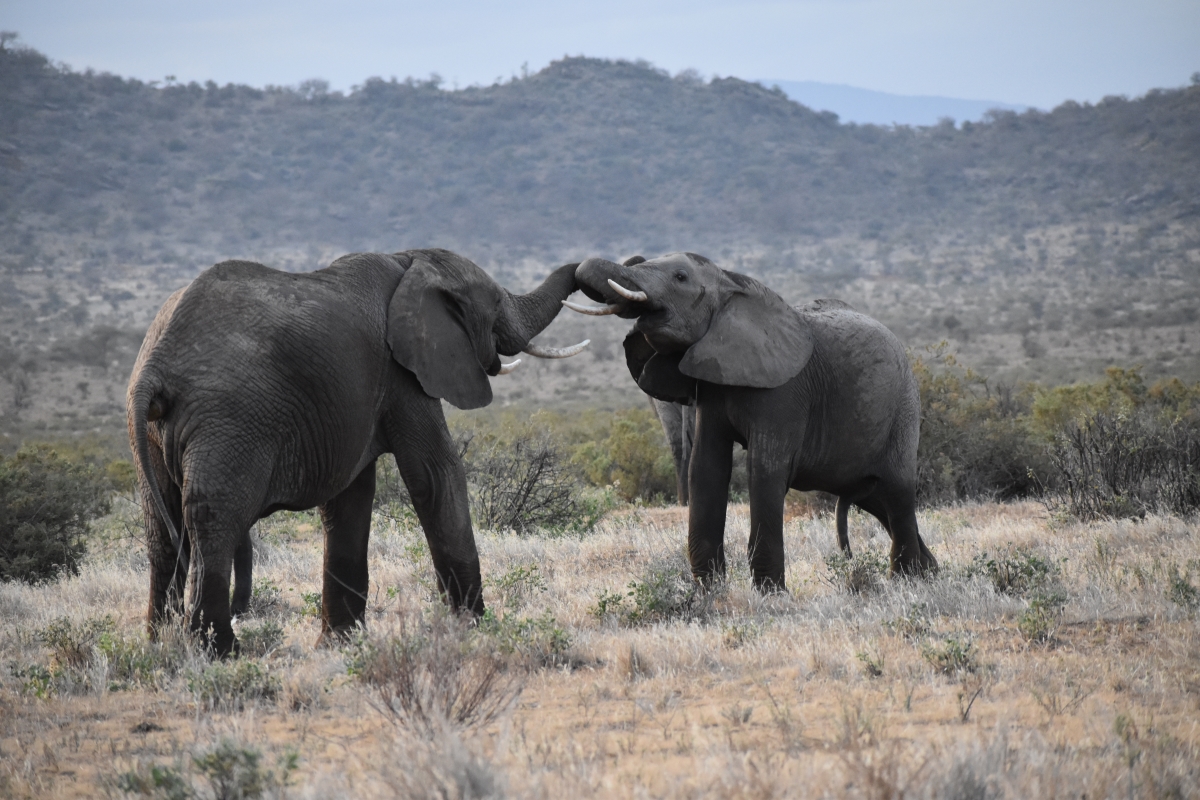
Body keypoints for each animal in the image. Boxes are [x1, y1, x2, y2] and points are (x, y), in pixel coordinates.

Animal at [126, 250, 585, 657]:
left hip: (150, 430)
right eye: (495, 304)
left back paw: (161, 646)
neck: (410, 260)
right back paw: (221, 653)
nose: (587, 268)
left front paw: (339, 644)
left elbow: (350, 500)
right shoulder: (404, 374)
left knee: (162, 533)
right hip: (230, 420)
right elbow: (435, 474)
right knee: (213, 524)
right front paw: (474, 631)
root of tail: (157, 364)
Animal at [566, 253, 940, 592]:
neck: (733, 285)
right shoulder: (712, 386)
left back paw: (907, 582)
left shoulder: (784, 390)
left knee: (898, 493)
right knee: (876, 498)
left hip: (903, 408)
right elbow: (707, 468)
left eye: (680, 277)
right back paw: (931, 573)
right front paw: (709, 592)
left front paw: (770, 594)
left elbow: (765, 470)